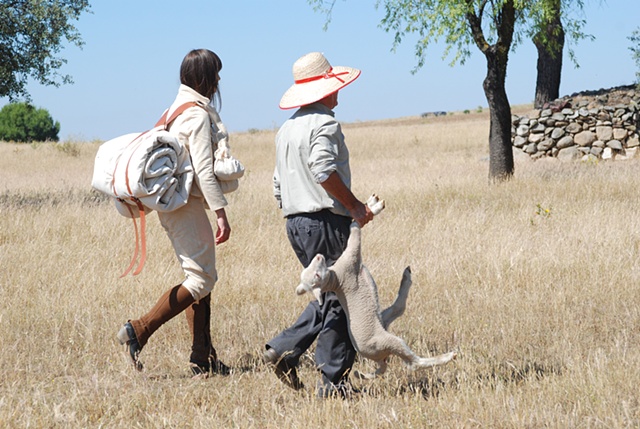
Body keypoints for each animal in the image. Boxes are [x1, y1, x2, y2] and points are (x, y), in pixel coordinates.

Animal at [298, 194, 458, 378]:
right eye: (316, 276)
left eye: (311, 270)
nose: (318, 256)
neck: (335, 277)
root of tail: (379, 361)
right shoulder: (351, 257)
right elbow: (355, 227)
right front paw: (372, 209)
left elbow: (355, 225)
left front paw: (371, 202)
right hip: (387, 342)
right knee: (413, 363)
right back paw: (448, 356)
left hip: (383, 320)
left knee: (398, 309)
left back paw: (406, 276)